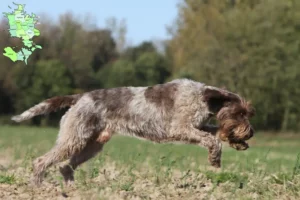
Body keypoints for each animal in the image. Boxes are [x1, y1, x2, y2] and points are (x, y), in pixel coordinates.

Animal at [12, 79, 255, 185]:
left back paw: (72, 190)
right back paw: (37, 187)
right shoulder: (181, 128)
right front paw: (215, 158)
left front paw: (236, 142)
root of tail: (80, 97)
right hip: (74, 138)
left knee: (65, 166)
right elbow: (212, 140)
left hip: (91, 145)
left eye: (247, 113)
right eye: (240, 113)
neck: (204, 98)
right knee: (41, 161)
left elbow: (216, 133)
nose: (251, 133)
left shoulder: (198, 126)